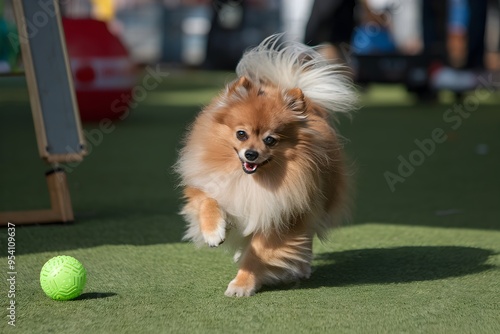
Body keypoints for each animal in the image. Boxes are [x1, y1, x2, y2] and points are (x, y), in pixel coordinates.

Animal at [176, 34, 356, 296]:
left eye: (270, 140)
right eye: (241, 134)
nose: (251, 154)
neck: (248, 179)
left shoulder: (282, 217)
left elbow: (257, 254)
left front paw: (242, 285)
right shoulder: (210, 187)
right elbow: (208, 202)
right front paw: (213, 232)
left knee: (306, 239)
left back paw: (302, 267)